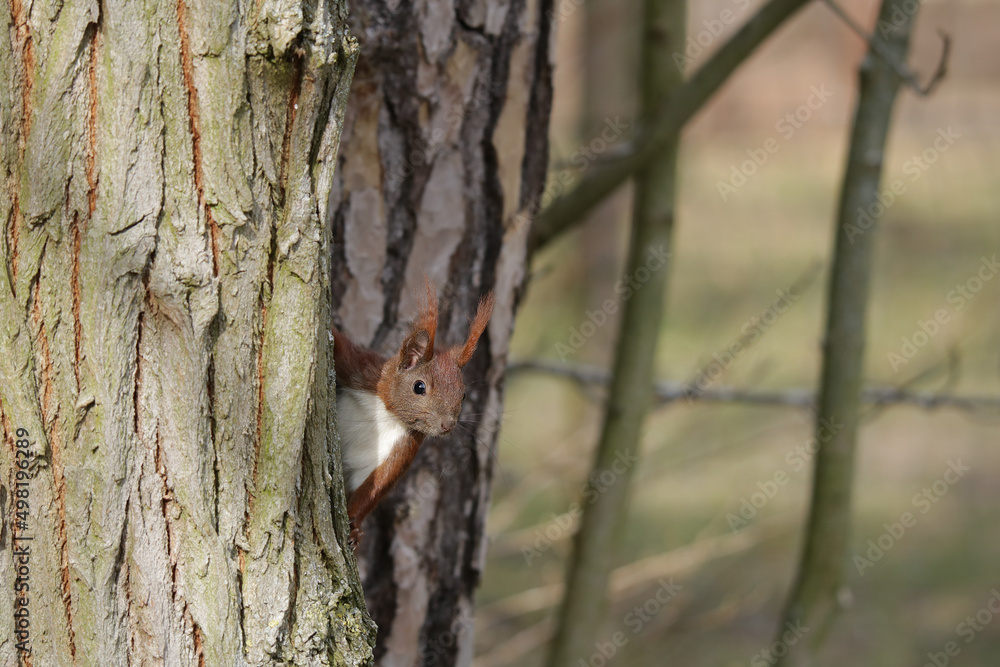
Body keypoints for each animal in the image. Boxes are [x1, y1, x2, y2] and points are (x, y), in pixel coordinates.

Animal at [332, 284, 494, 547]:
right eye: (419, 387)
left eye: (463, 395)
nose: (447, 425)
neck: (387, 412)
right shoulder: (361, 370)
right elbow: (338, 346)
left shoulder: (405, 446)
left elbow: (377, 484)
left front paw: (355, 525)